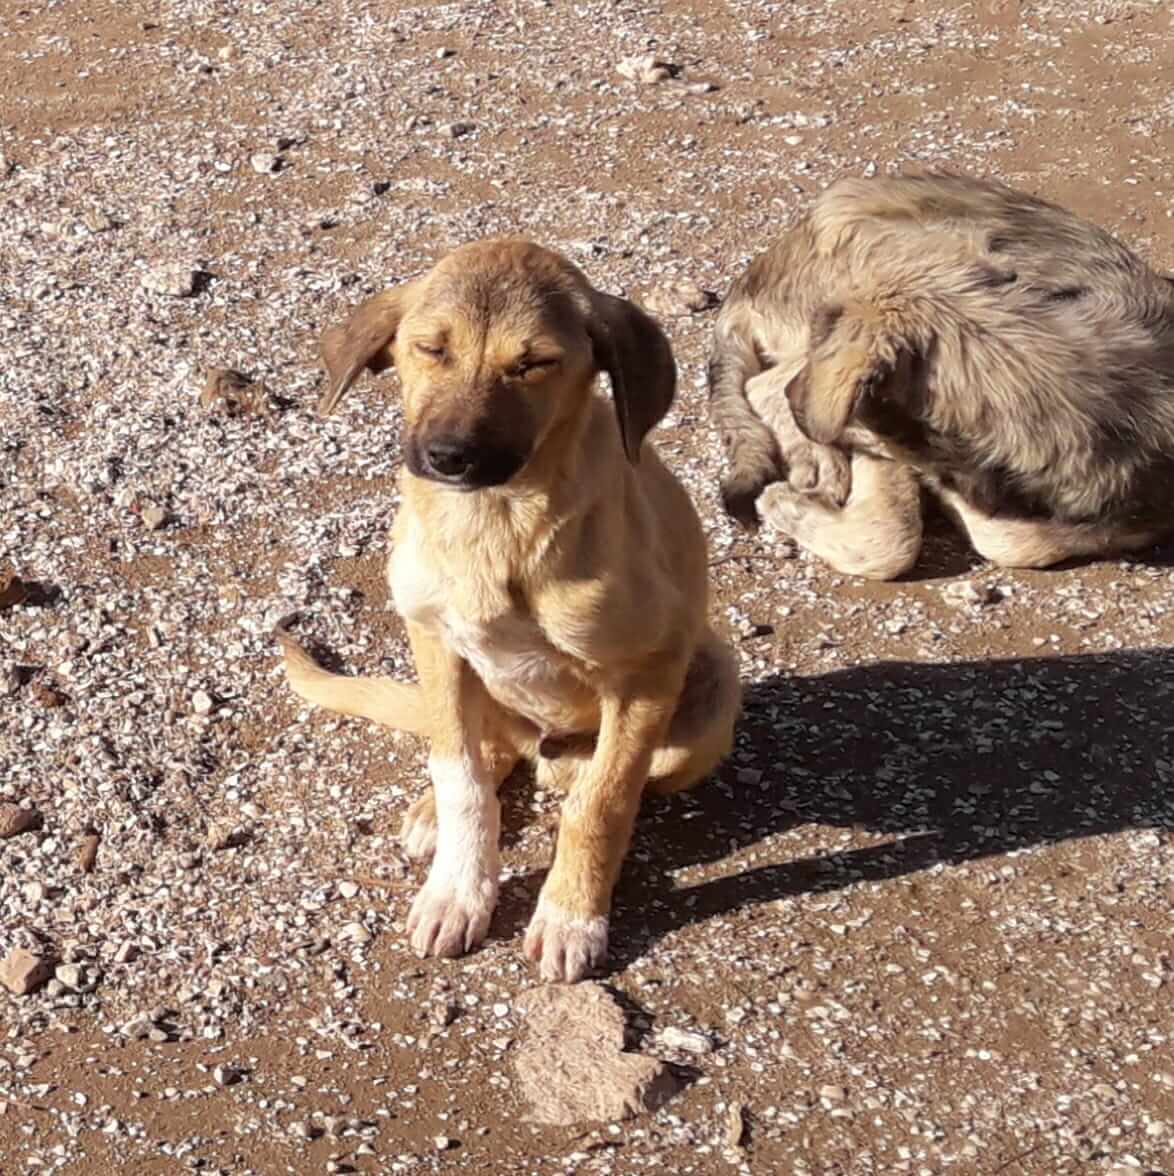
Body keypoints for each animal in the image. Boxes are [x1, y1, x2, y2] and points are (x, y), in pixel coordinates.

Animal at [276, 238, 738, 983]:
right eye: (430, 349)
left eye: (534, 364)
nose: (448, 457)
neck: (493, 525)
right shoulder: (435, 642)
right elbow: (460, 776)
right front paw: (458, 891)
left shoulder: (647, 672)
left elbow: (604, 801)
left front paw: (571, 915)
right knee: (481, 751)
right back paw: (435, 812)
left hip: (714, 682)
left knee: (594, 777)